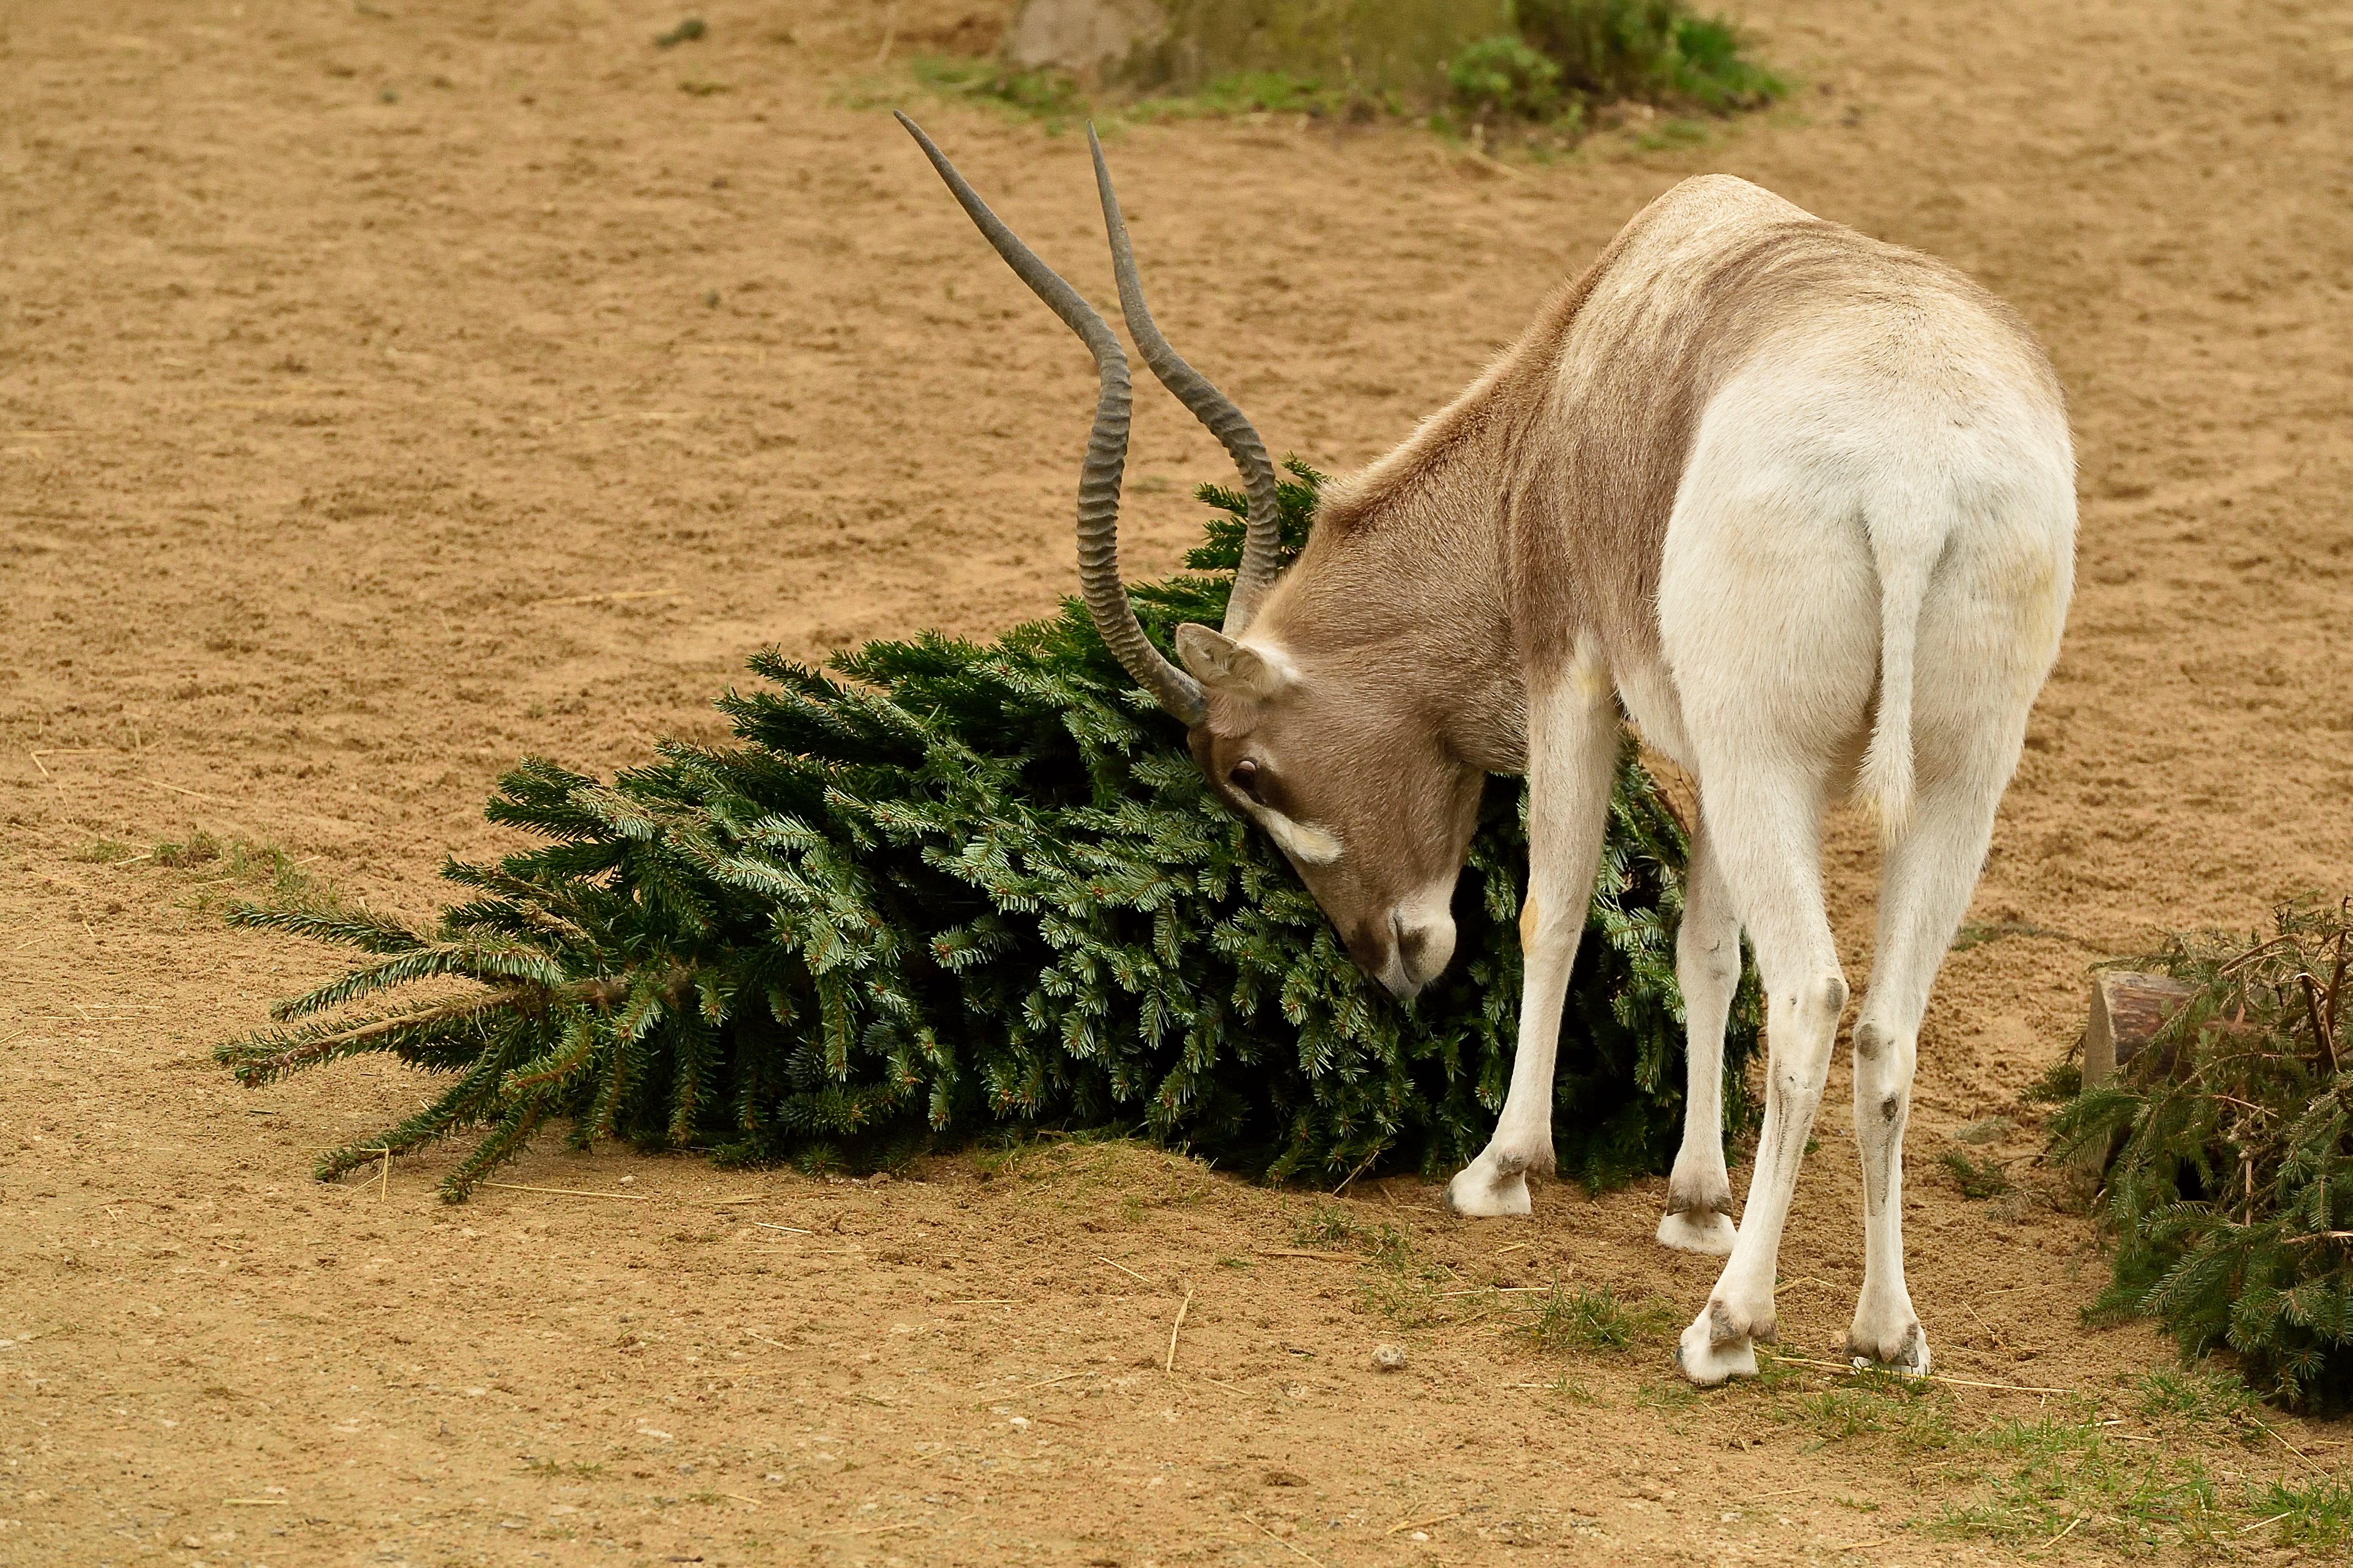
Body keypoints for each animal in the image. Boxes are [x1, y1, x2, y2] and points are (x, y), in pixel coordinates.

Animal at [899, 113, 2080, 1382]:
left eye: (1249, 774)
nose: (1392, 962)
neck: (1569, 373)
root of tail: (1907, 484)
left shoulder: (1573, 680)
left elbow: (1551, 915)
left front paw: (1502, 1170)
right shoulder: (1711, 747)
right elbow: (1705, 952)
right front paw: (1694, 1203)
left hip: (1771, 760)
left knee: (1812, 995)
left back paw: (1728, 1325)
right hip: (1944, 783)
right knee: (1887, 1025)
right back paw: (1885, 1330)